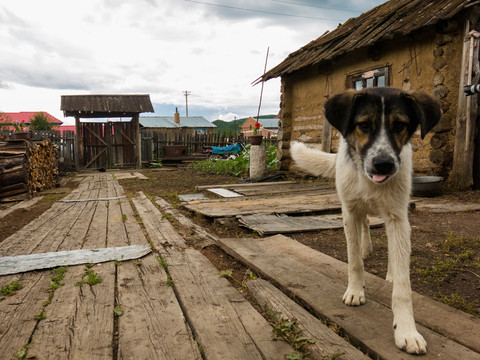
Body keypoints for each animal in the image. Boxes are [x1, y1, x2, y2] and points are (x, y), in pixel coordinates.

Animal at [290, 88, 440, 354]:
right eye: (364, 125)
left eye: (399, 125)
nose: (384, 164)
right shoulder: (349, 212)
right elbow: (353, 261)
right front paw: (355, 290)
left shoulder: (397, 217)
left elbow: (403, 284)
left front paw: (406, 330)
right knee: (364, 226)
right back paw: (366, 249)